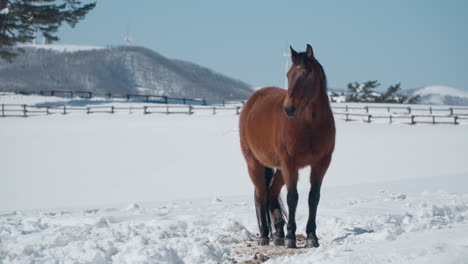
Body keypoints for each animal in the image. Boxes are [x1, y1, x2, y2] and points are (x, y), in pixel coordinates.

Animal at [239, 44, 334, 249]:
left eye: (307, 74)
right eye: (289, 75)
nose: (289, 108)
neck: (309, 126)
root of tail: (253, 100)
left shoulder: (321, 164)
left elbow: (313, 197)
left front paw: (312, 236)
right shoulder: (290, 164)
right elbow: (293, 198)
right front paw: (291, 237)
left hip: (280, 169)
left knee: (272, 192)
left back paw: (278, 233)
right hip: (255, 164)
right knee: (261, 195)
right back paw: (265, 236)